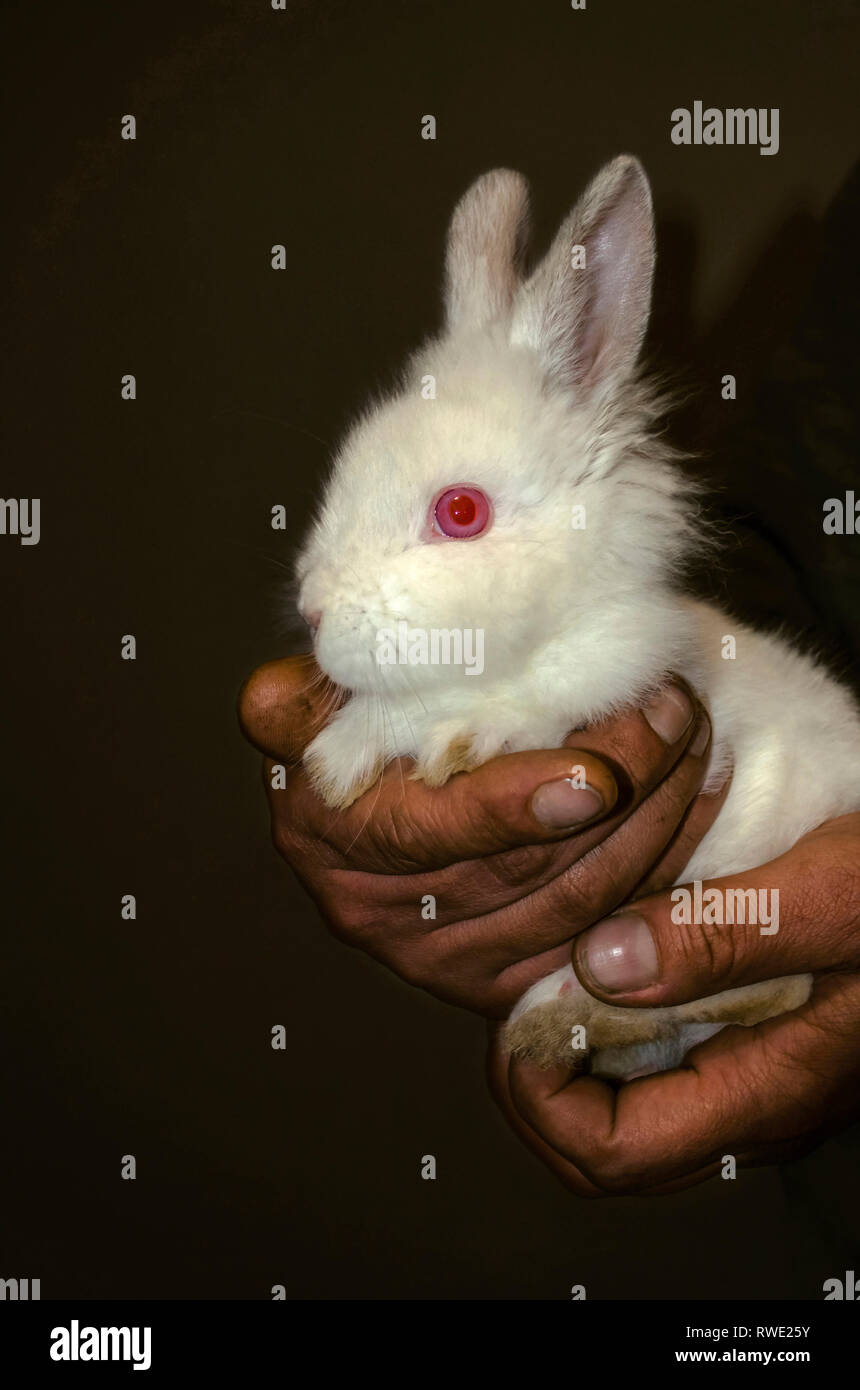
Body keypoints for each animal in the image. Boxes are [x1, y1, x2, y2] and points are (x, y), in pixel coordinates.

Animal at [294, 154, 860, 1080]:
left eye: (460, 512)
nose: (311, 613)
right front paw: (341, 756)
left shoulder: (620, 670)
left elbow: (506, 706)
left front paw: (401, 749)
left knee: (772, 990)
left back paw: (567, 1009)